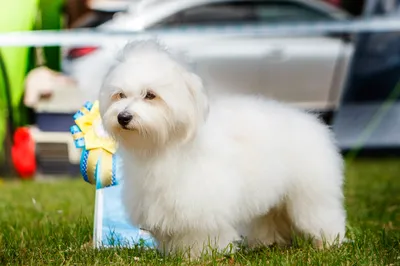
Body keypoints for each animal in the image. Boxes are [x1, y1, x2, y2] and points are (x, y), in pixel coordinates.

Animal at [98, 41, 346, 258]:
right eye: (120, 95)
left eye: (150, 95)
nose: (123, 117)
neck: (165, 146)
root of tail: (311, 121)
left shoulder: (202, 203)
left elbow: (204, 234)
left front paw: (202, 255)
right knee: (269, 218)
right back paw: (268, 243)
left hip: (310, 194)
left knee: (324, 216)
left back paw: (329, 243)